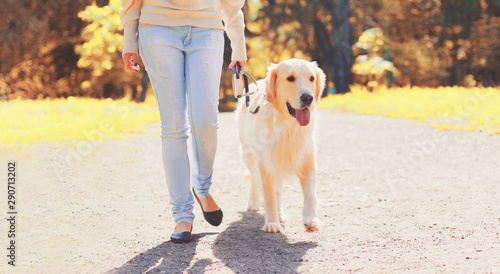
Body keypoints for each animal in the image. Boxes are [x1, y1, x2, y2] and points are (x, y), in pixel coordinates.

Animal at [236, 58, 326, 232]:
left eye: (312, 78)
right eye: (290, 78)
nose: (308, 98)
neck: (287, 126)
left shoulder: (307, 161)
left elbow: (311, 195)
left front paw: (311, 219)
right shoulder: (265, 163)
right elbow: (269, 196)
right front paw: (272, 222)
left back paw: (280, 213)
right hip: (248, 155)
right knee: (254, 179)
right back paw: (254, 203)